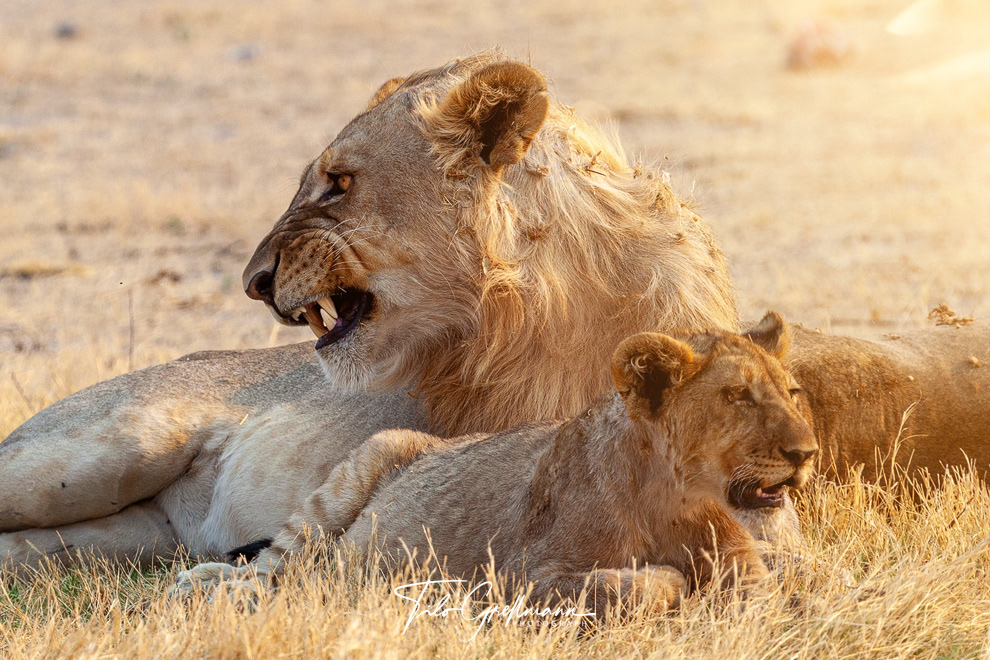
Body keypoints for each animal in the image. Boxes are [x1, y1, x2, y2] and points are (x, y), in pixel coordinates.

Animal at [173, 313, 818, 613]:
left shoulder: (749, 578)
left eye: (793, 393)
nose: (806, 453)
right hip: (370, 458)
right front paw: (672, 581)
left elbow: (767, 591)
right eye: (737, 397)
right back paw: (207, 585)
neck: (681, 502)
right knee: (277, 568)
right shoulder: (518, 577)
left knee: (312, 575)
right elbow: (650, 585)